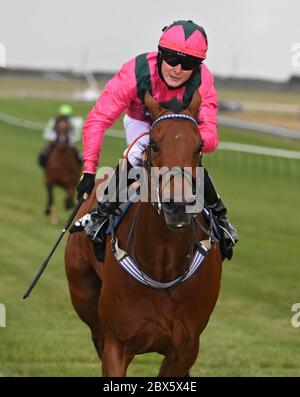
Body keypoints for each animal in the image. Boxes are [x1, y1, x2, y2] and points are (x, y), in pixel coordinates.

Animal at [64, 91, 223, 376]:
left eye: (199, 146)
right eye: (155, 144)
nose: (178, 205)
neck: (163, 265)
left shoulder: (185, 348)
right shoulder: (116, 344)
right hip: (82, 292)